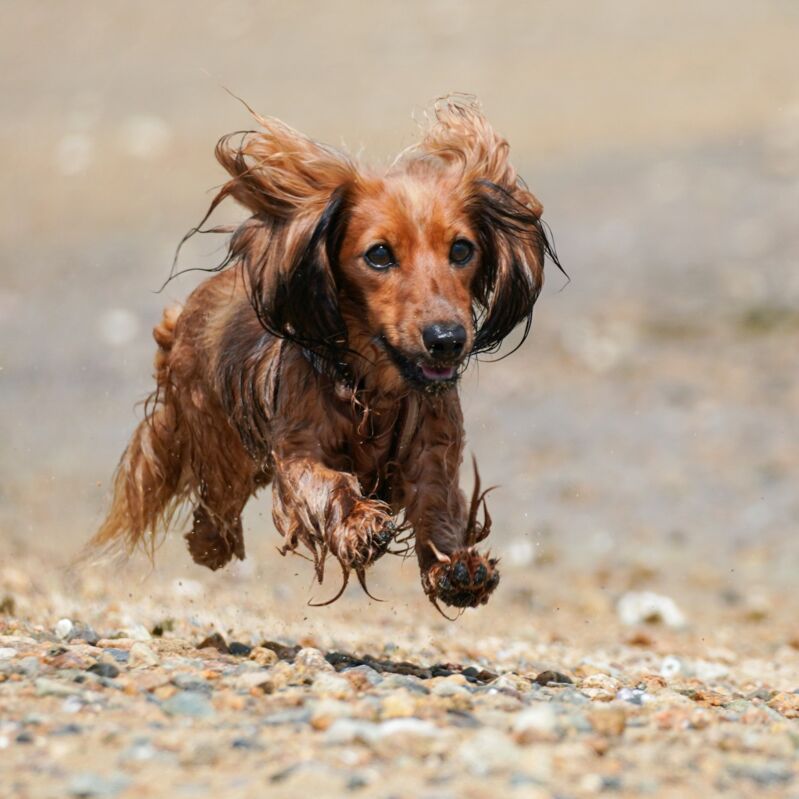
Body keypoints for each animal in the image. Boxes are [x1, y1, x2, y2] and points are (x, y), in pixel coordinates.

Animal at [89, 97, 564, 616]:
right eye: (379, 255)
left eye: (461, 249)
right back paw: (211, 543)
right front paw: (358, 522)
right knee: (216, 502)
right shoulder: (297, 453)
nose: (446, 339)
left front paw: (456, 565)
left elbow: (437, 500)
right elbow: (326, 484)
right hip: (222, 448)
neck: (375, 390)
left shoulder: (433, 448)